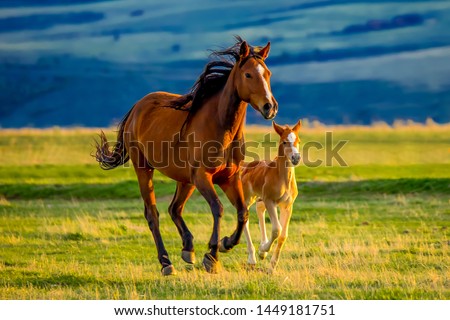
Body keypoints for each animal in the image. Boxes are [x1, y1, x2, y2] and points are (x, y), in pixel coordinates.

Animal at [95, 37, 278, 276]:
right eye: (248, 75)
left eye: (268, 74)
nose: (270, 107)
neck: (221, 127)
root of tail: (137, 107)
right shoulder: (203, 177)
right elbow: (218, 209)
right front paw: (212, 256)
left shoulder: (229, 178)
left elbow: (242, 213)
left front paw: (226, 243)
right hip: (145, 170)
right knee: (153, 214)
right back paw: (166, 262)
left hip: (185, 180)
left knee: (175, 209)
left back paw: (187, 249)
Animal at [241, 119, 300, 270]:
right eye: (284, 142)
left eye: (298, 140)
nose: (296, 158)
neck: (282, 178)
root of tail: (245, 167)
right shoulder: (270, 201)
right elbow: (276, 229)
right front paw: (263, 251)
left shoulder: (287, 206)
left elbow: (283, 235)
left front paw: (272, 267)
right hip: (248, 198)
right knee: (245, 219)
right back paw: (252, 258)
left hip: (259, 198)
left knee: (259, 210)